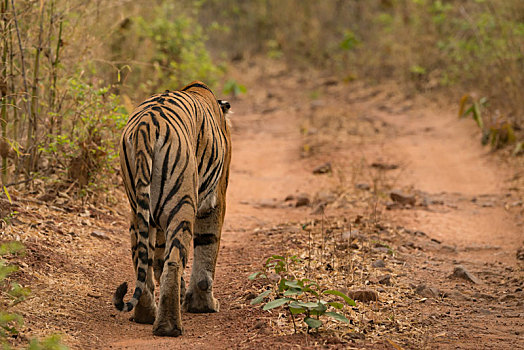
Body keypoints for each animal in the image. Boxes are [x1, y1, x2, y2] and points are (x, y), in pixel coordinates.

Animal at [112, 80, 231, 336]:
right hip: (182, 205)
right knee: (174, 262)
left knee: (143, 261)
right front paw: (203, 305)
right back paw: (168, 326)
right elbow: (207, 249)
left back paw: (147, 315)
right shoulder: (216, 200)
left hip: (138, 210)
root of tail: (146, 125)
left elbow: (157, 258)